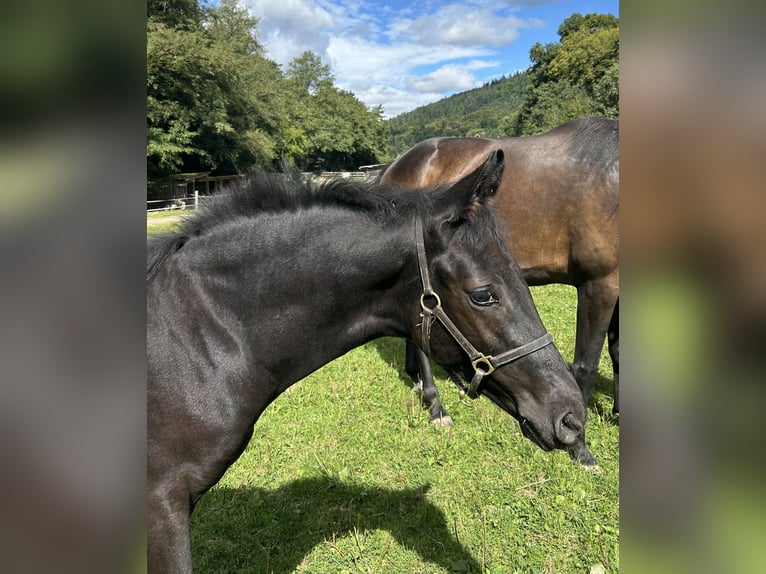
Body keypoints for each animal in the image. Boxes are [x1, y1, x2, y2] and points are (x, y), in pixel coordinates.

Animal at [378, 116, 619, 466]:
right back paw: (435, 405)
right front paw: (580, 449)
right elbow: (586, 367)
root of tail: (395, 165)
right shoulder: (599, 284)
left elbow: (619, 352)